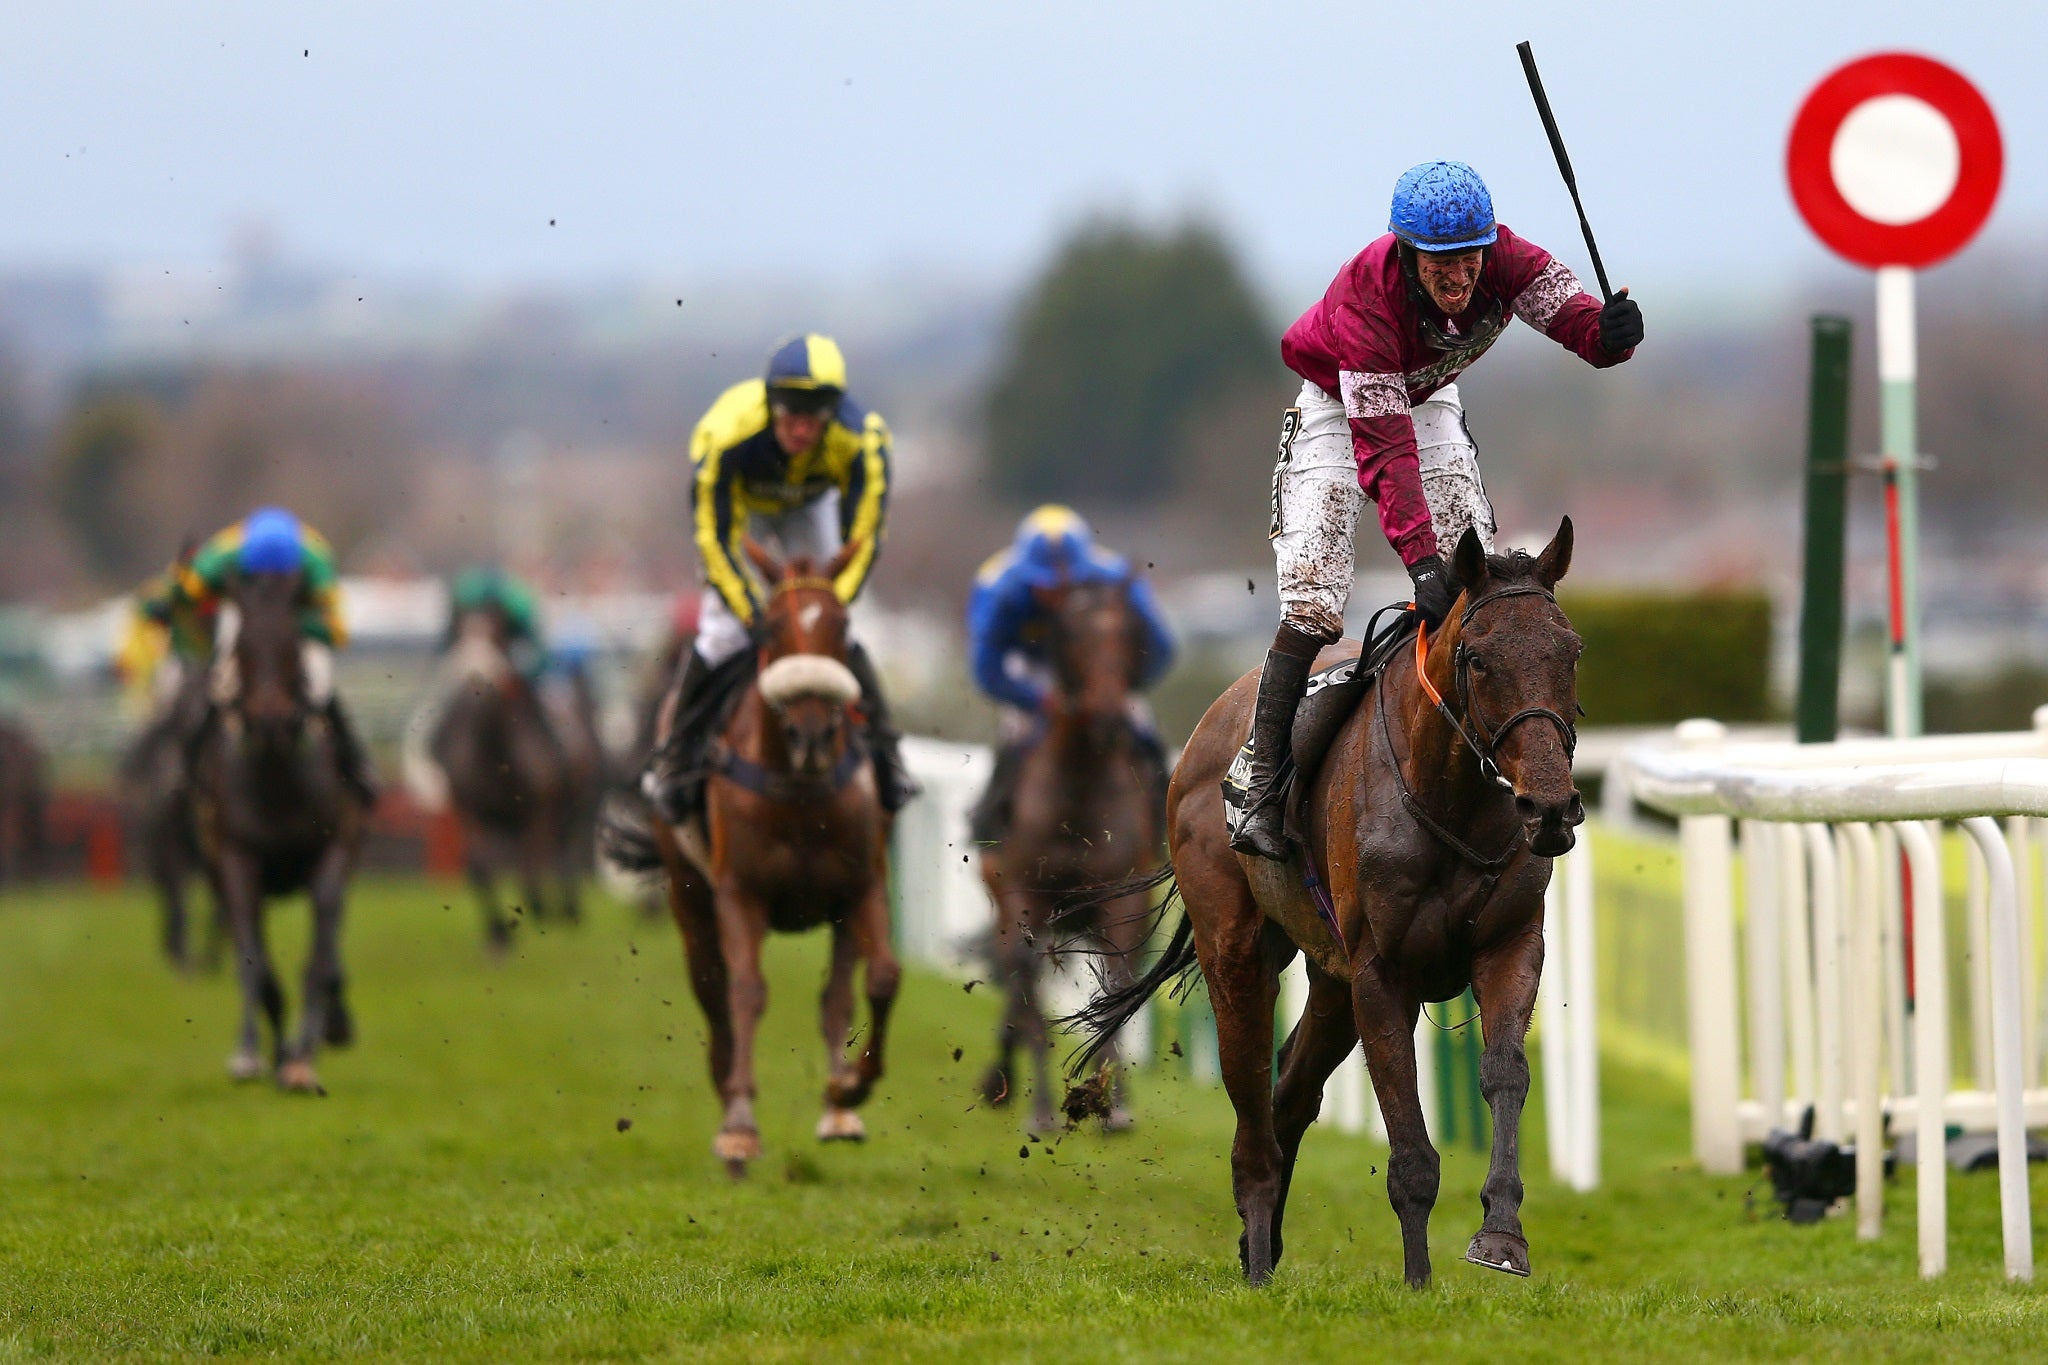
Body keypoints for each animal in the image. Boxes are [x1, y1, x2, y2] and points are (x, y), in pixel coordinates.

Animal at [193, 573, 370, 1096]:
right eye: (242, 649)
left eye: (293, 647)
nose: (270, 720)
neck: (276, 777)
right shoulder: (236, 861)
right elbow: (255, 965)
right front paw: (251, 1054)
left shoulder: (332, 854)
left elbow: (318, 960)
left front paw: (302, 1061)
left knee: (330, 953)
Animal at [413, 609, 593, 949]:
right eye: (461, 632)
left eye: (498, 633)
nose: (476, 675)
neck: (495, 751)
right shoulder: (468, 807)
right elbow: (479, 866)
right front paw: (497, 933)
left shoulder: (540, 806)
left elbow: (533, 860)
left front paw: (539, 908)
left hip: (575, 801)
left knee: (567, 846)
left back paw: (567, 908)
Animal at [606, 540, 897, 1178]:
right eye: (770, 627)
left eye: (843, 626)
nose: (812, 734)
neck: (800, 788)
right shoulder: (741, 892)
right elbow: (745, 991)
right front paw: (739, 1126)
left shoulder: (860, 886)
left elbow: (878, 980)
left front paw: (849, 1090)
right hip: (689, 895)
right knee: (712, 990)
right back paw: (724, 1091)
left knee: (833, 995)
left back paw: (836, 1107)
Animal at [978, 581, 1163, 1137]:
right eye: (1071, 635)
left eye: (1130, 632)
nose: (1107, 715)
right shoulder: (1020, 890)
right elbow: (1027, 984)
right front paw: (1040, 1110)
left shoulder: (1124, 891)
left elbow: (1119, 980)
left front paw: (1111, 1102)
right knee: (1016, 979)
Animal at [1073, 519, 1581, 1285]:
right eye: (1479, 659)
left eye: (1570, 651)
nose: (1549, 806)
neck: (1451, 802)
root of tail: (1206, 731)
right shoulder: (1381, 972)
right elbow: (1408, 1142)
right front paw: (1418, 1282)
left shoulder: (1510, 944)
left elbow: (1505, 1074)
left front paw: (1501, 1233)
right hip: (1237, 950)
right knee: (1251, 1093)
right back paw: (1256, 1254)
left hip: (1333, 984)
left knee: (1290, 1092)